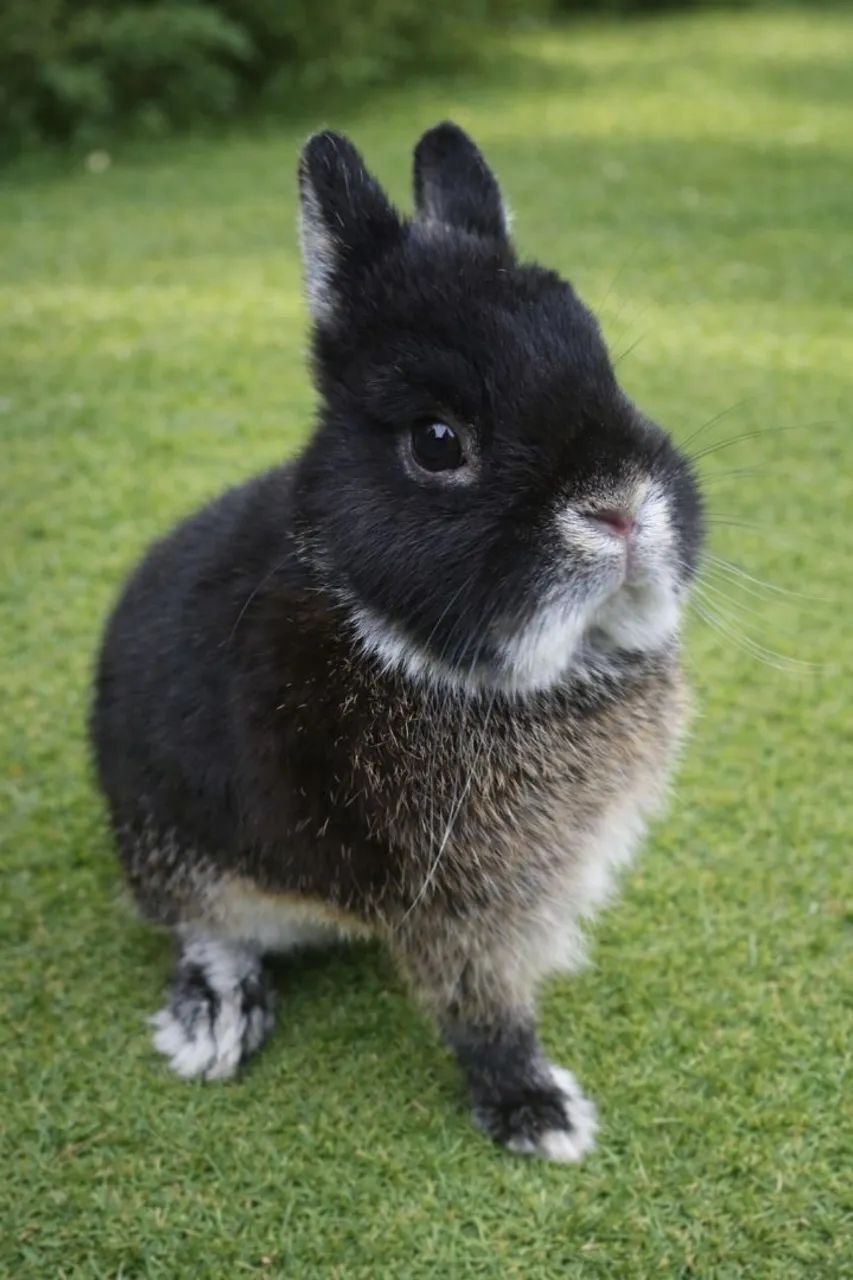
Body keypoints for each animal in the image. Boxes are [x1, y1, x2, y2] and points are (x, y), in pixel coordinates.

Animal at [90, 122, 703, 1163]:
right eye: (436, 440)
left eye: (608, 373)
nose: (620, 507)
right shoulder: (458, 903)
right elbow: (481, 1009)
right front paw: (538, 1113)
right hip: (177, 850)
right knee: (199, 926)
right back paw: (215, 1018)